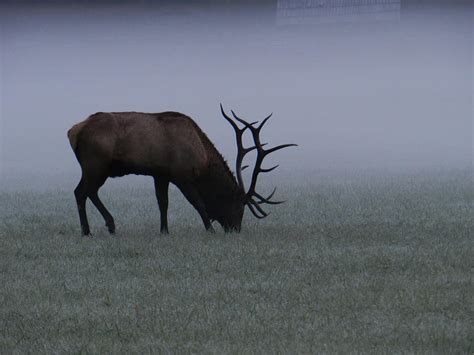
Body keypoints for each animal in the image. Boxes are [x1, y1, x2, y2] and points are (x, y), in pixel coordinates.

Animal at [67, 104, 296, 235]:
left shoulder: (160, 173)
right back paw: (104, 226)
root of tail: (73, 131)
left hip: (93, 167)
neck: (202, 159)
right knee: (86, 191)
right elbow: (198, 203)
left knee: (81, 192)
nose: (235, 230)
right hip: (97, 164)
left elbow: (163, 203)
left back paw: (92, 229)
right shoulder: (181, 174)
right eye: (239, 206)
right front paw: (210, 230)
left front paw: (164, 231)